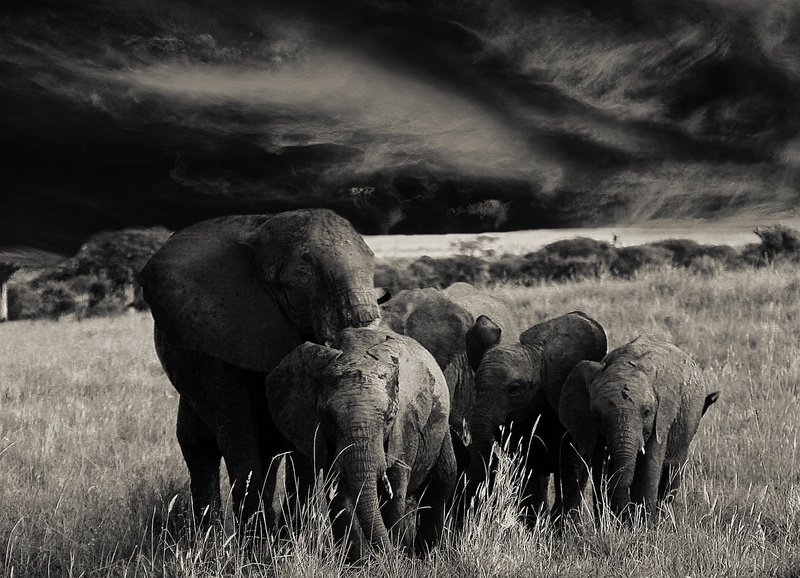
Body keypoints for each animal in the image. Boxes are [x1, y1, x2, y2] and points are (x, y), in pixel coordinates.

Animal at [138, 209, 383, 529]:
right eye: (302, 274)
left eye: (372, 261)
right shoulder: (222, 331)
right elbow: (240, 440)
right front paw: (254, 542)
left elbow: (304, 445)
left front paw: (290, 536)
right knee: (199, 446)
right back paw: (210, 537)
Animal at [263, 325, 456, 560]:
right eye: (329, 420)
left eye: (389, 419)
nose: (384, 556)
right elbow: (341, 497)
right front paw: (361, 563)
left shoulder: (405, 426)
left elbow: (395, 492)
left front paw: (397, 559)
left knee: (440, 486)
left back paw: (427, 555)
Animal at [465, 311, 608, 524]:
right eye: (475, 386)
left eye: (514, 389)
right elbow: (527, 470)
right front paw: (534, 526)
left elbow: (569, 467)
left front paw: (562, 527)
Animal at [559, 334, 720, 518]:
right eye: (597, 417)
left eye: (647, 412)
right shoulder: (594, 429)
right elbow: (599, 469)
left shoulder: (661, 419)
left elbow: (648, 469)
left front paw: (643, 524)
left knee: (673, 468)